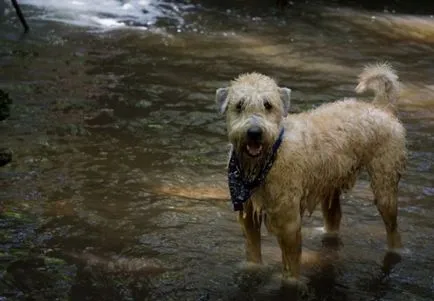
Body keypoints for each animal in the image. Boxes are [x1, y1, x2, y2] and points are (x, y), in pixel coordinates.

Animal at [215, 62, 408, 282]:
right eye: (239, 105)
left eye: (268, 105)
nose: (254, 133)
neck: (271, 157)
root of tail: (382, 108)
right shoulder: (248, 214)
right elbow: (253, 251)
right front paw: (252, 270)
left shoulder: (288, 220)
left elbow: (291, 264)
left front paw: (291, 283)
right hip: (330, 187)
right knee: (334, 217)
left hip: (385, 184)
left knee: (393, 229)